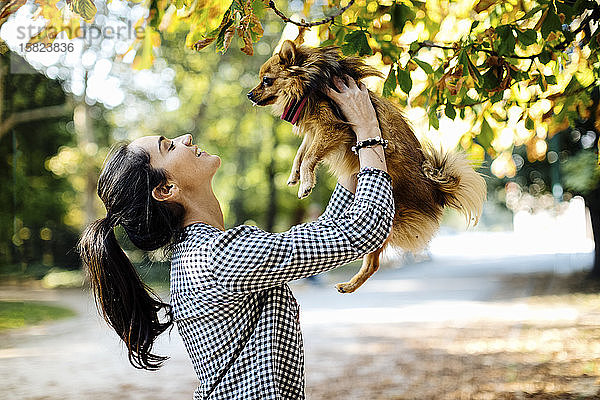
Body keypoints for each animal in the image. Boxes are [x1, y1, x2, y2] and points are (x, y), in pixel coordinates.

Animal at [248, 39, 488, 292]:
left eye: (267, 80)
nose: (249, 94)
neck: (310, 84)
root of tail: (435, 190)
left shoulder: (331, 128)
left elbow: (309, 156)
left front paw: (305, 182)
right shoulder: (315, 130)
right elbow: (301, 153)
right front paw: (295, 175)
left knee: (373, 258)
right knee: (373, 264)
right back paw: (350, 285)